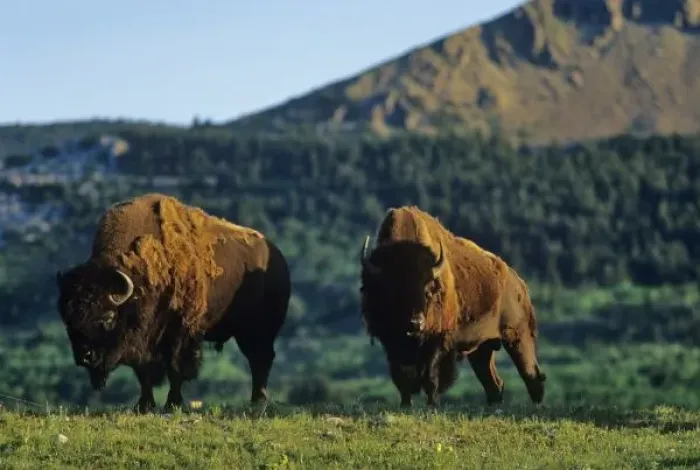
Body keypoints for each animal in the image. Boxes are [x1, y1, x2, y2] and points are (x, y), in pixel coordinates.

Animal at [56, 193, 291, 413]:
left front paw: (172, 403)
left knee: (260, 359)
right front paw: (144, 405)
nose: (85, 356)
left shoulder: (180, 333)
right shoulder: (143, 341)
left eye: (108, 317)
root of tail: (278, 258)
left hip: (258, 330)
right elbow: (144, 372)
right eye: (69, 320)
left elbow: (175, 368)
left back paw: (258, 400)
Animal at [359, 205, 546, 407]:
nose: (416, 323)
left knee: (531, 375)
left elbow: (431, 377)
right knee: (493, 383)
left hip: (518, 337)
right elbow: (402, 378)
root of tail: (519, 283)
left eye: (428, 291)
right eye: (394, 291)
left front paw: (432, 405)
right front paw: (405, 405)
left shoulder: (437, 342)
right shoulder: (391, 343)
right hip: (482, 348)